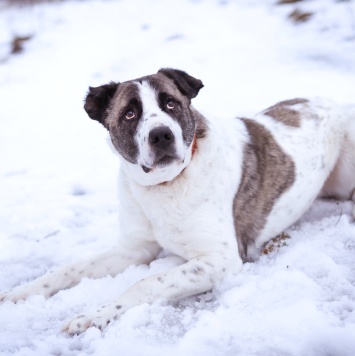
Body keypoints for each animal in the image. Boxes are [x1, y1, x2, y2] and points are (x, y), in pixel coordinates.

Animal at [0, 67, 355, 334]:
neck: (162, 186)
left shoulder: (220, 259)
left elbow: (145, 283)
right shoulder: (132, 248)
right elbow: (67, 270)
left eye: (171, 104)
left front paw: (94, 315)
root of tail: (330, 101)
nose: (161, 135)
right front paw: (18, 294)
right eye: (130, 114)